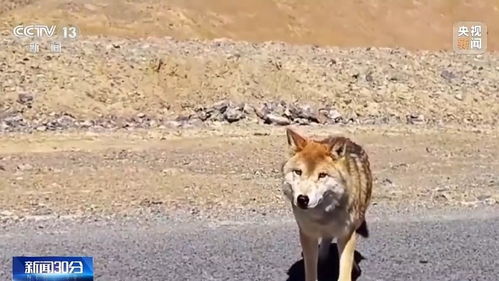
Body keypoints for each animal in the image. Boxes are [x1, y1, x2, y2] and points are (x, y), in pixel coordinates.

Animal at [282, 127, 372, 280]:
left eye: (322, 175)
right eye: (298, 172)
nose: (302, 199)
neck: (323, 215)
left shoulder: (346, 234)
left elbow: (345, 271)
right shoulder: (308, 235)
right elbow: (311, 271)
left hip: (358, 220)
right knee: (326, 239)